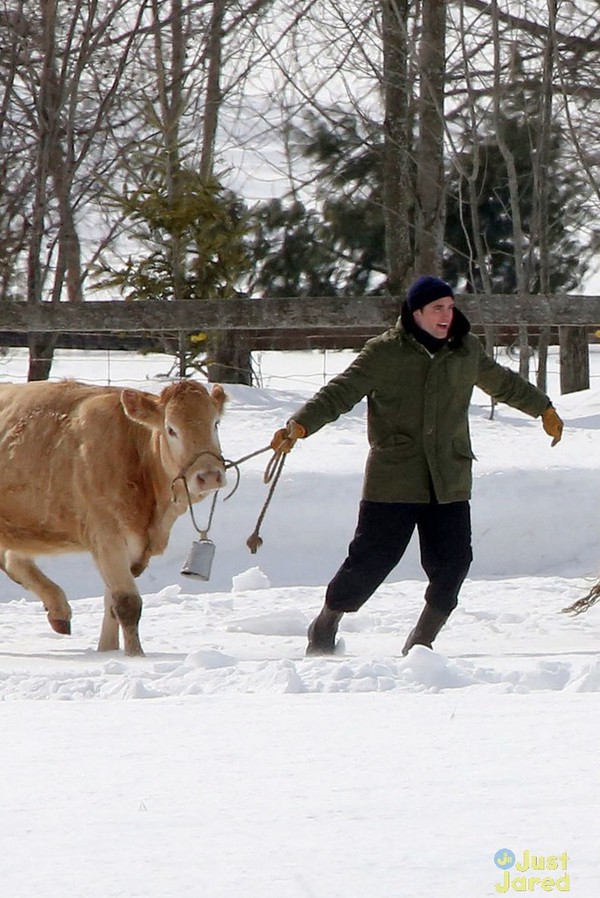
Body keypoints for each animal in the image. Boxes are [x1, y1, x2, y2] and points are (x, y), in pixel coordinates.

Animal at [0, 374, 227, 656]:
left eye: (215, 423)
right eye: (171, 429)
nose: (210, 475)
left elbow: (111, 606)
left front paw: (107, 651)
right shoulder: (107, 536)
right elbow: (127, 604)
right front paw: (136, 656)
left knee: (14, 560)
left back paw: (58, 611)